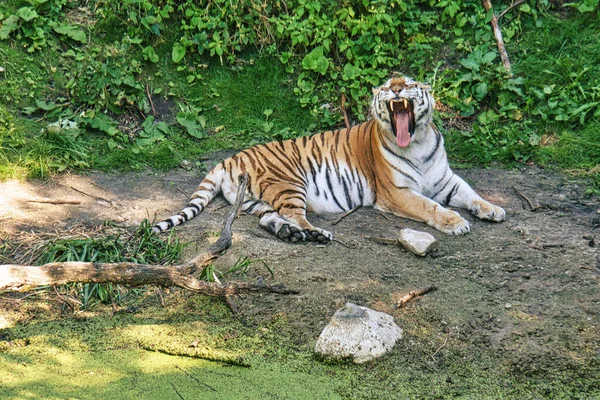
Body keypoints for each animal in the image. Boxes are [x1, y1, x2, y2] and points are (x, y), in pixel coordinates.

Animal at [152, 76, 504, 242]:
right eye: (387, 86)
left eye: (408, 84)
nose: (395, 91)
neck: (417, 140)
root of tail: (229, 158)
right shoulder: (397, 193)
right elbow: (431, 207)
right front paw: (457, 223)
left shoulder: (446, 180)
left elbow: (471, 194)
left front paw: (493, 209)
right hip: (289, 183)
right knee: (295, 215)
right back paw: (316, 233)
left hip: (255, 201)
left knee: (271, 219)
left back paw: (290, 234)